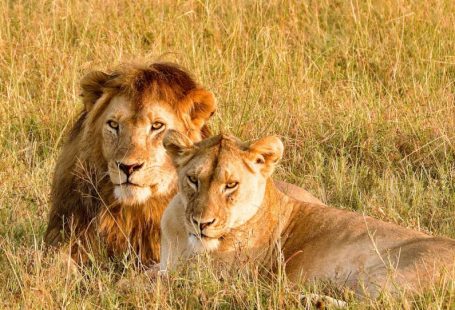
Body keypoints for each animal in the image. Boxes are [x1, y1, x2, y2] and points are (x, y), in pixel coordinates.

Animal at [160, 130, 455, 296]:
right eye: (193, 180)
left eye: (231, 184)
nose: (201, 223)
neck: (184, 239)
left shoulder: (216, 276)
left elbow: (157, 280)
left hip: (390, 276)